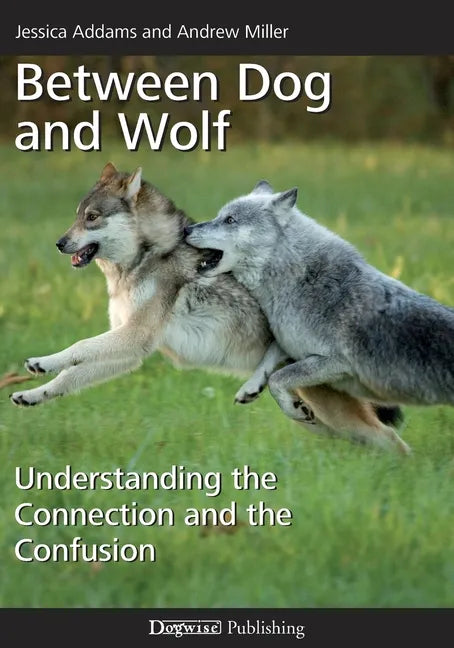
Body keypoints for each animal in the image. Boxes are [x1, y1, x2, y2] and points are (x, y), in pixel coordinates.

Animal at [10, 165, 403, 448]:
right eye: (77, 215)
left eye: (92, 217)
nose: (59, 243)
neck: (145, 257)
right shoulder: (131, 351)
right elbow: (69, 377)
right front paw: (32, 395)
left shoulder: (134, 337)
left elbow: (77, 348)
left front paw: (40, 362)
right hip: (318, 418)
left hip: (335, 412)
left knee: (393, 442)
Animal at [185, 180, 454, 454]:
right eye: (220, 216)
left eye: (230, 220)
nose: (186, 229)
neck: (300, 280)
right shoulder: (289, 342)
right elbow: (269, 361)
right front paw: (250, 388)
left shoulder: (334, 363)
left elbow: (278, 379)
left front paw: (296, 409)